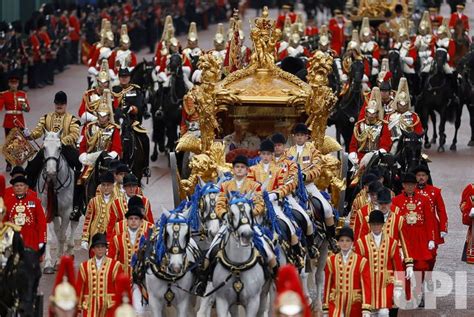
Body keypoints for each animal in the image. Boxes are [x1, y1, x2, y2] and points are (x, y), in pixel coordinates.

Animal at [37, 130, 78, 272]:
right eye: (44, 147)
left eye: (60, 148)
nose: (50, 172)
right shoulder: (46, 210)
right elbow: (50, 236)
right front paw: (49, 264)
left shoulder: (66, 212)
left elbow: (61, 236)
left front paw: (60, 260)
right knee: (57, 229)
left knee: (72, 226)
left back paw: (70, 250)